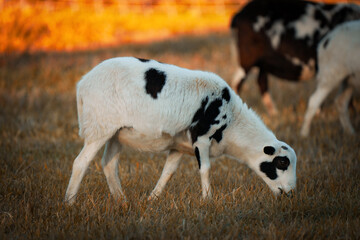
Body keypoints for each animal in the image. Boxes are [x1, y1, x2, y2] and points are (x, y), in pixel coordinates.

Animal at [64, 56, 298, 204]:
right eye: (282, 162)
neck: (233, 123)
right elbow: (205, 169)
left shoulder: (178, 146)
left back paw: (122, 201)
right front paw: (208, 200)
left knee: (109, 164)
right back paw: (69, 202)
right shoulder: (201, 137)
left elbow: (168, 172)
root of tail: (82, 84)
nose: (290, 194)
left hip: (115, 133)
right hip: (100, 126)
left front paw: (152, 199)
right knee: (80, 163)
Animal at [231, 0, 360, 115]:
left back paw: (274, 112)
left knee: (261, 81)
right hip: (247, 57)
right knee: (237, 82)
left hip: (263, 62)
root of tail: (239, 14)